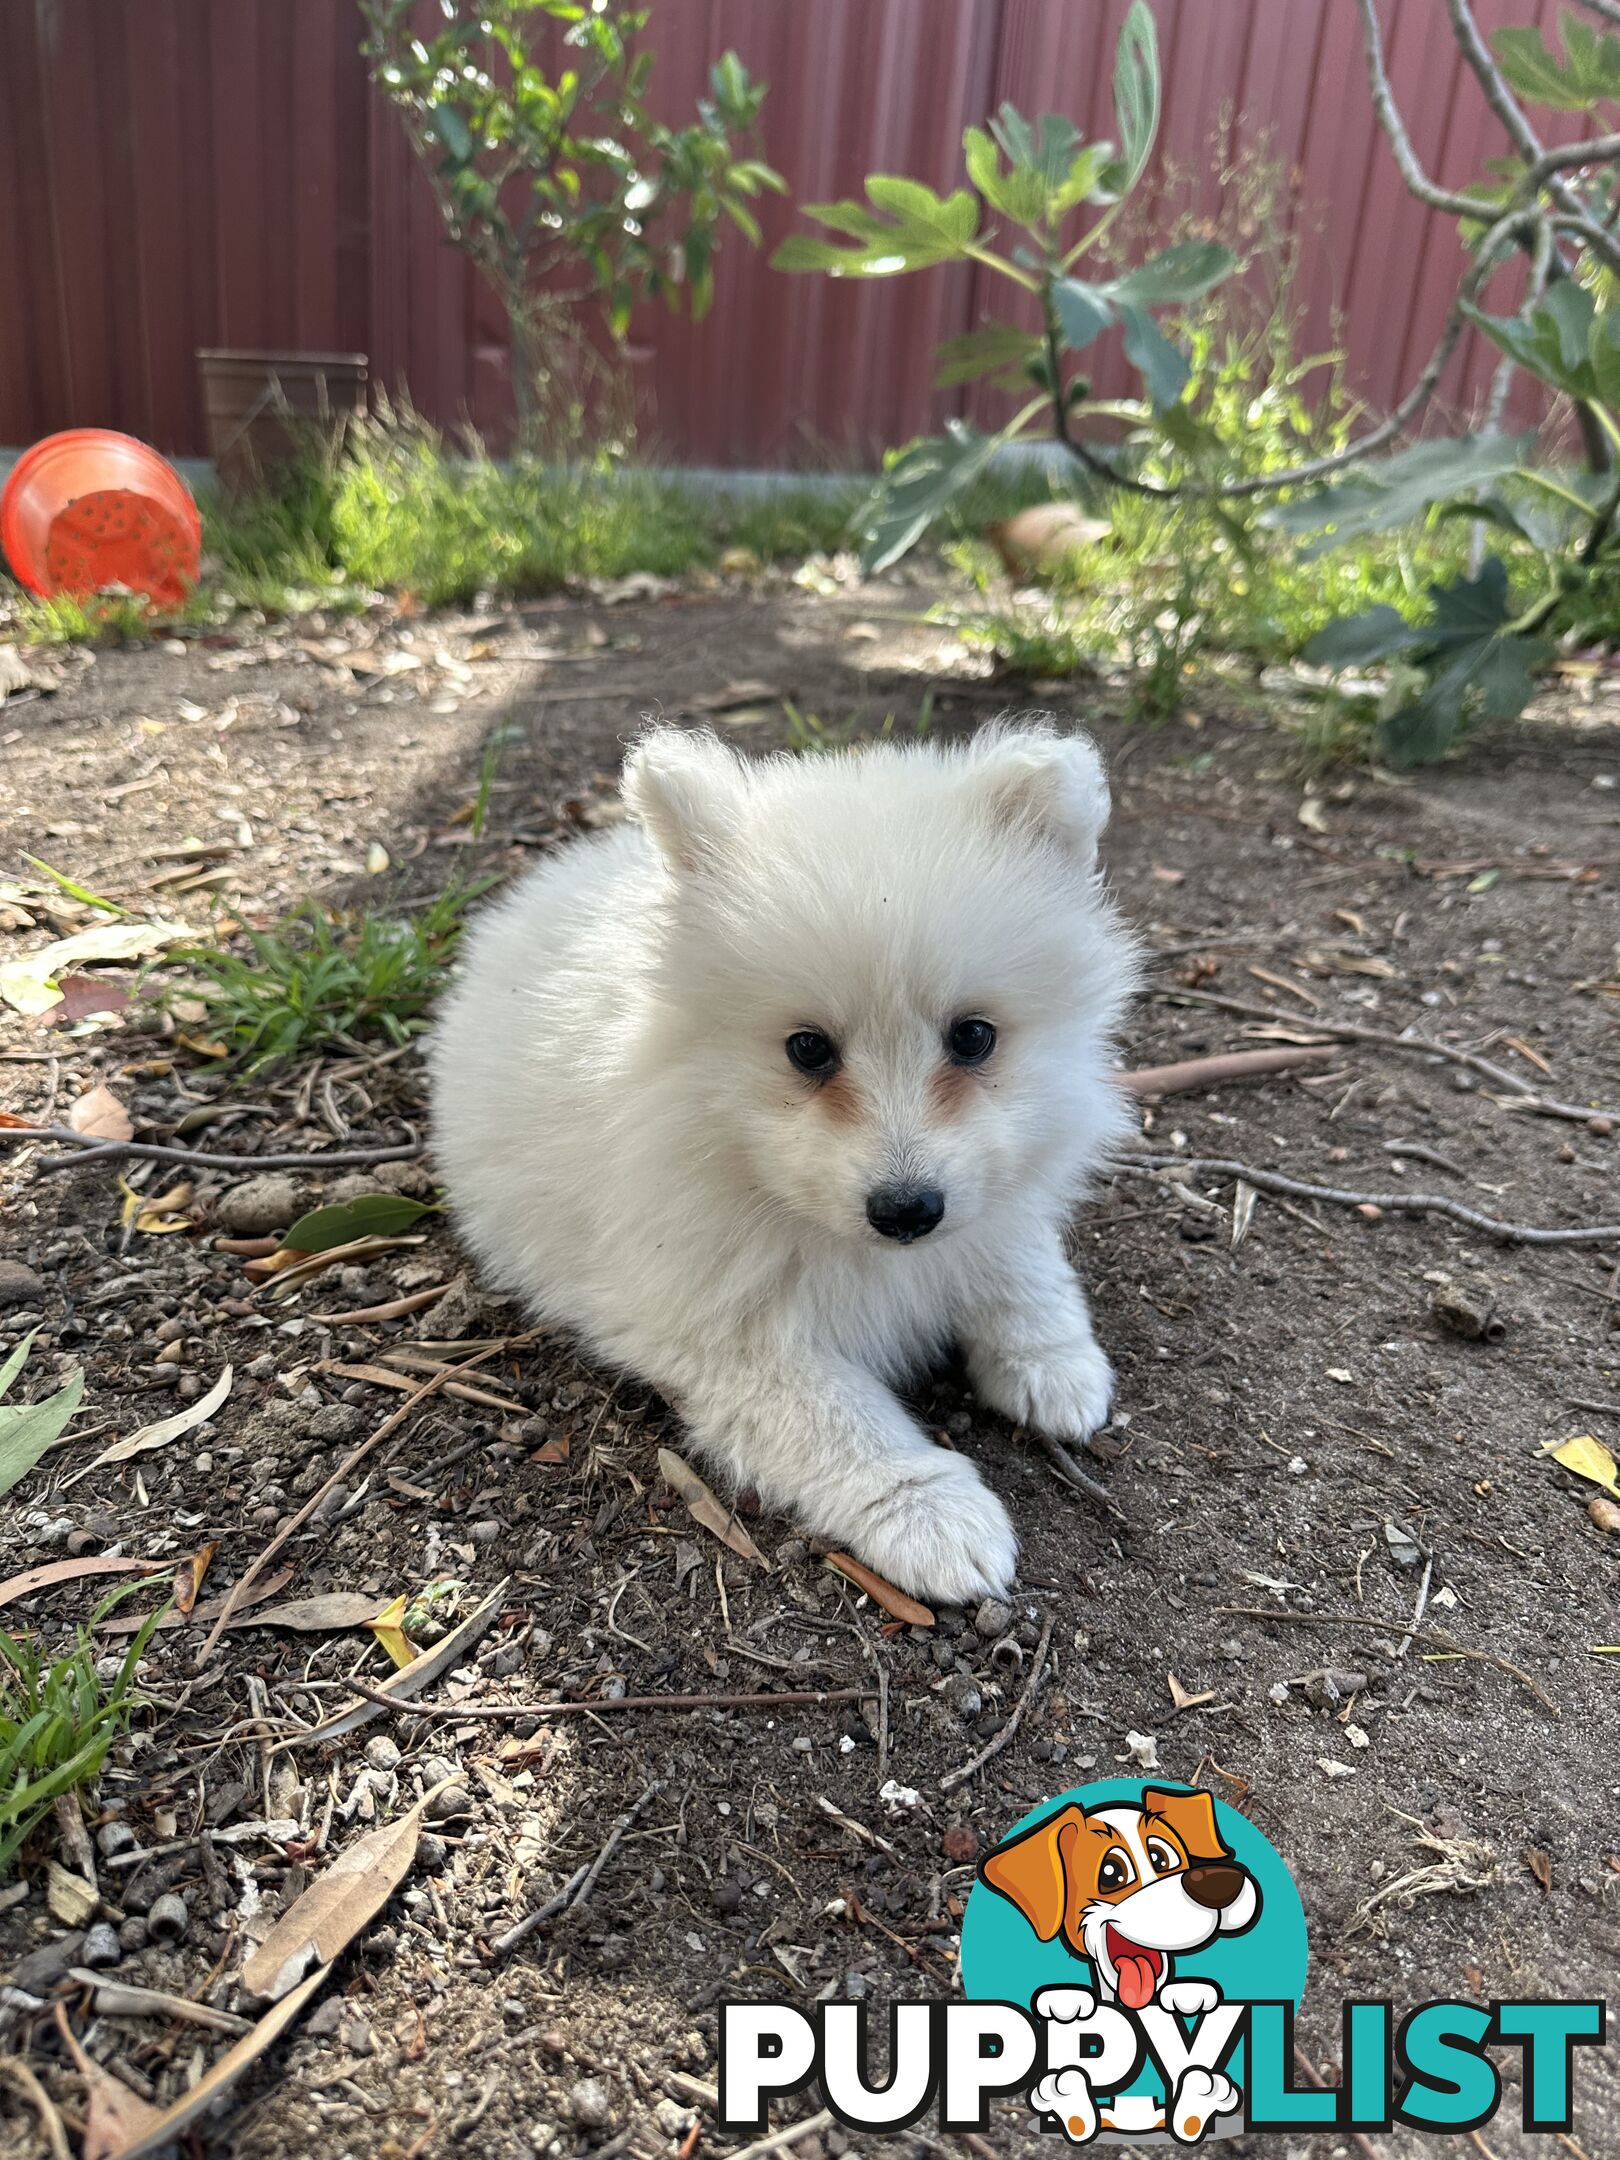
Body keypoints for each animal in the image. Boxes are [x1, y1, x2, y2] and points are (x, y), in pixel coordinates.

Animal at [432, 725, 1140, 1607]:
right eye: (808, 1049)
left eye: (974, 1037)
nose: (908, 1211)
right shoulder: (723, 1330)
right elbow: (840, 1420)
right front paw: (935, 1517)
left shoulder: (994, 1195)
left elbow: (1022, 1265)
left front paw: (1054, 1363)